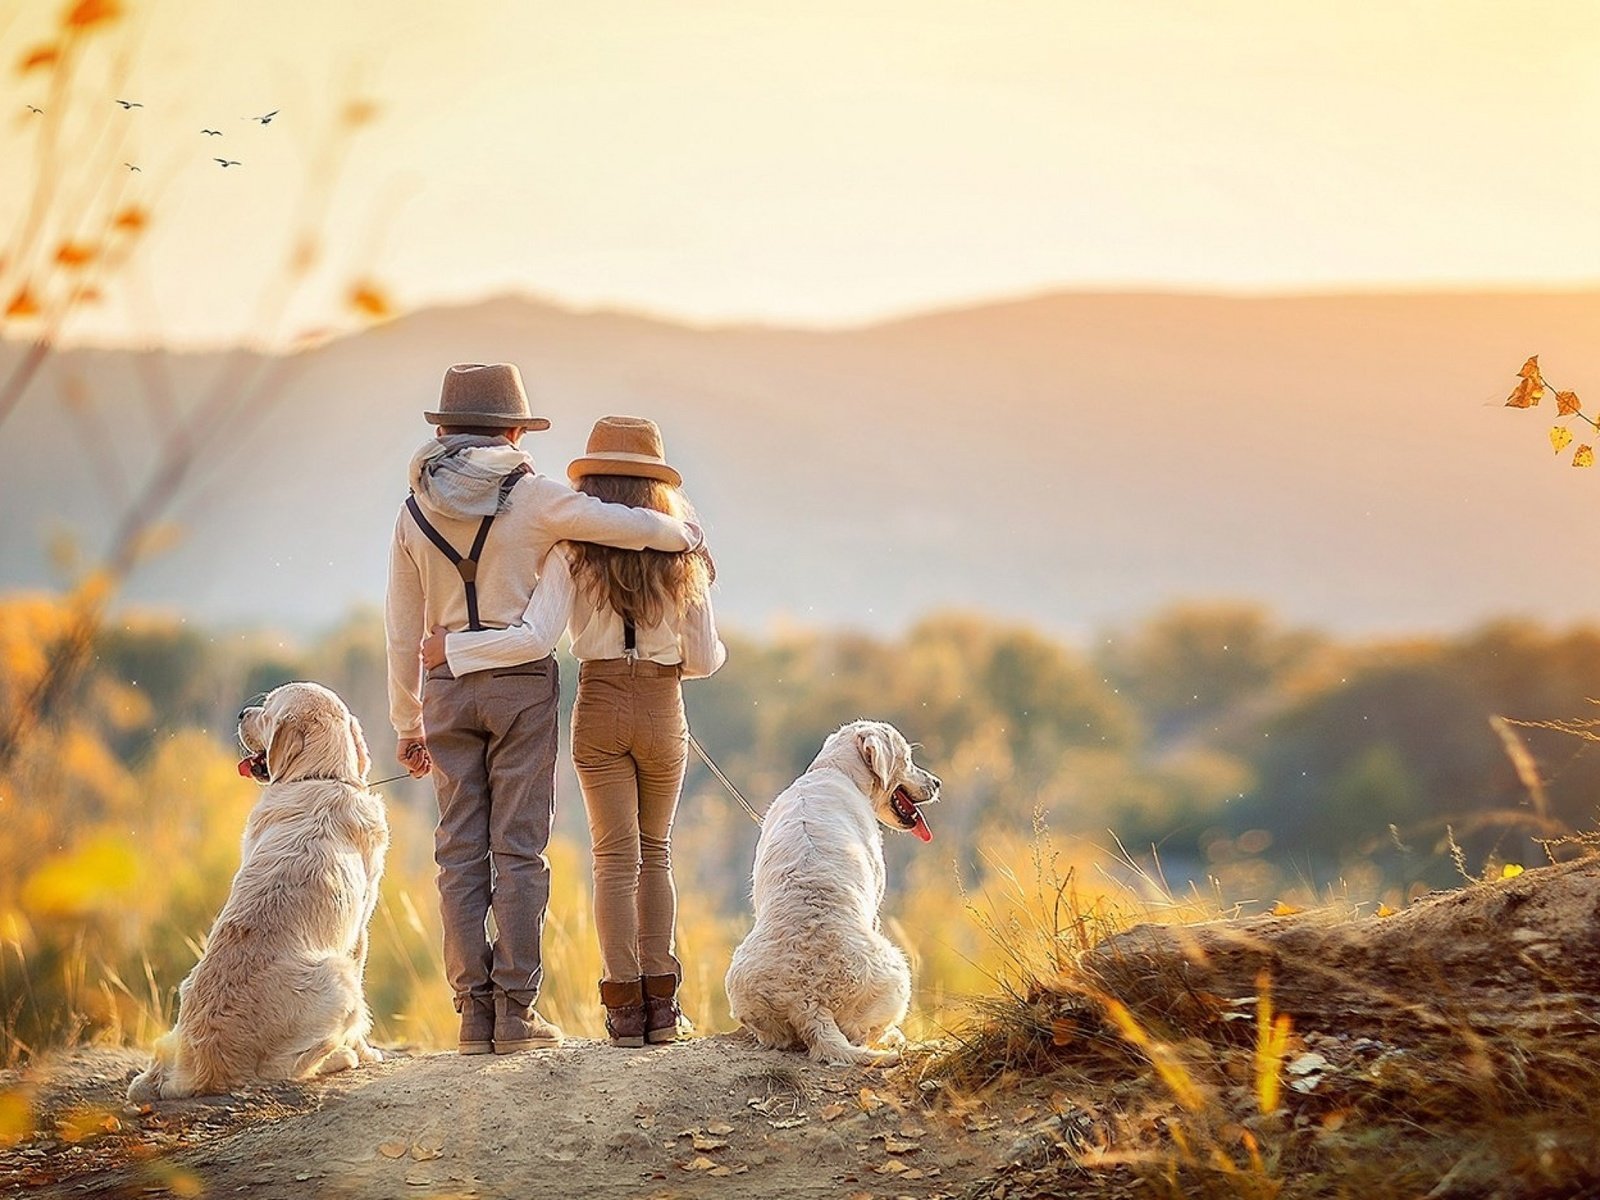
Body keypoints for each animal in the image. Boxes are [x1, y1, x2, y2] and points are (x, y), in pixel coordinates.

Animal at [125, 684, 387, 1100]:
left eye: (267, 712)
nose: (242, 713)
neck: (320, 777)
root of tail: (198, 1069)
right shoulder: (360, 928)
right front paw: (365, 1050)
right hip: (339, 973)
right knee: (284, 1069)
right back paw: (341, 1057)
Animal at [726, 720, 934, 1068]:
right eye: (906, 758)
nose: (936, 783)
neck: (834, 771)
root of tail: (808, 1002)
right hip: (898, 972)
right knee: (864, 1033)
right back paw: (892, 1038)